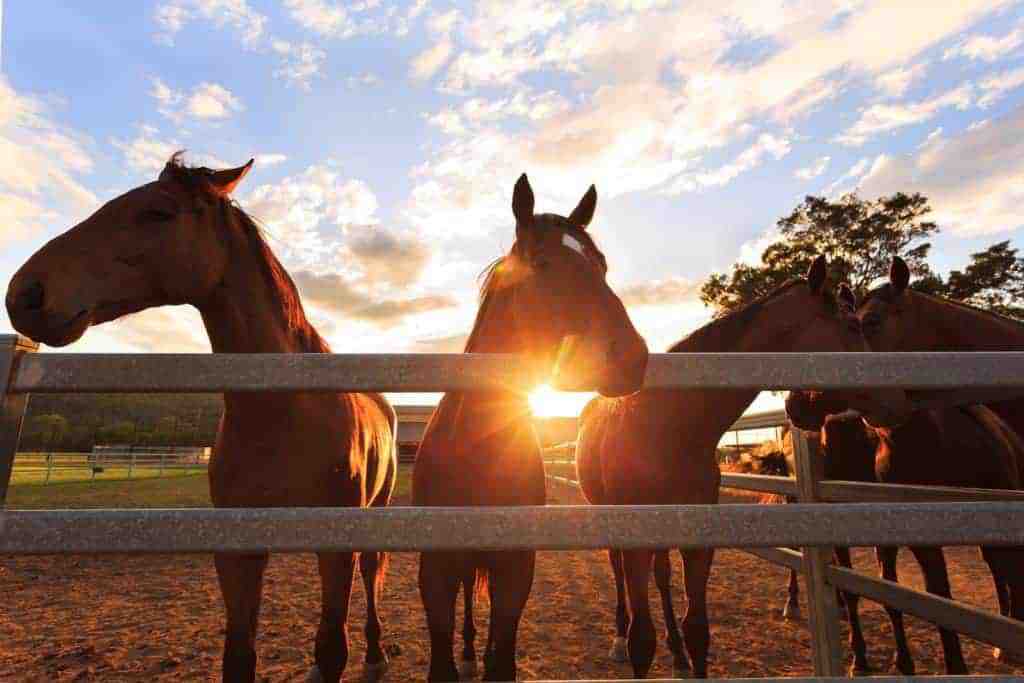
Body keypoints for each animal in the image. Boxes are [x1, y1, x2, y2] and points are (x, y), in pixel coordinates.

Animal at [6, 155, 398, 683]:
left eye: (158, 212)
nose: (24, 293)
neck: (285, 414)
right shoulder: (237, 548)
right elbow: (239, 656)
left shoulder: (336, 546)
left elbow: (333, 646)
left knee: (372, 578)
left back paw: (376, 653)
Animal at [413, 174, 650, 681]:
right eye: (542, 263)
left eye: (602, 264)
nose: (631, 358)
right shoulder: (436, 569)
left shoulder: (516, 570)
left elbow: (502, 659)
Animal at [575, 257, 911, 679]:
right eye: (852, 326)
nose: (896, 398)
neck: (668, 426)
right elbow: (642, 640)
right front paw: (632, 642)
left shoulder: (696, 537)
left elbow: (697, 629)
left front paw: (686, 651)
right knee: (618, 572)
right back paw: (619, 638)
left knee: (662, 578)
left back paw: (677, 653)